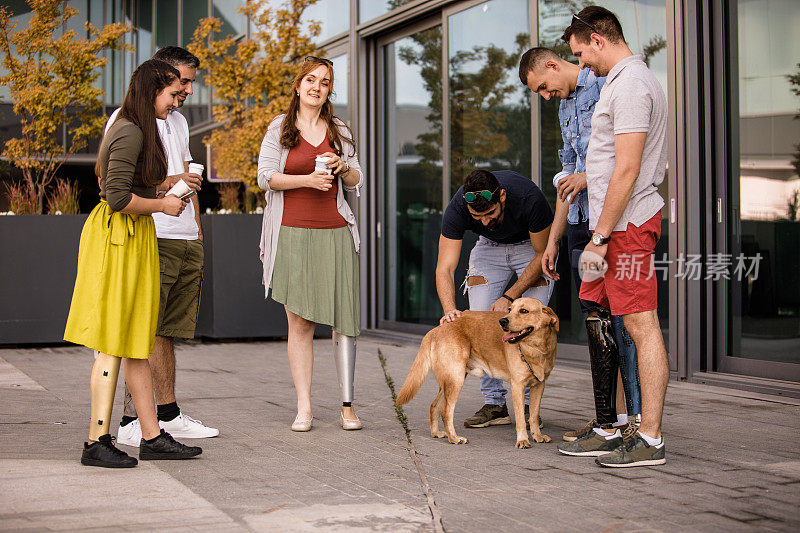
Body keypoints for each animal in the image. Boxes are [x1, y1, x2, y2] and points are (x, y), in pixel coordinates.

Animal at [394, 298, 556, 446]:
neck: (535, 350)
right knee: (446, 411)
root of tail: (437, 328)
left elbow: (533, 415)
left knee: (434, 405)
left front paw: (537, 436)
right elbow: (521, 418)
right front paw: (522, 440)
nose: (502, 321)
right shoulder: (517, 386)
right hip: (456, 378)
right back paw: (454, 438)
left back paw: (436, 433)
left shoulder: (539, 386)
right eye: (510, 309)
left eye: (524, 311)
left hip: (451, 380)